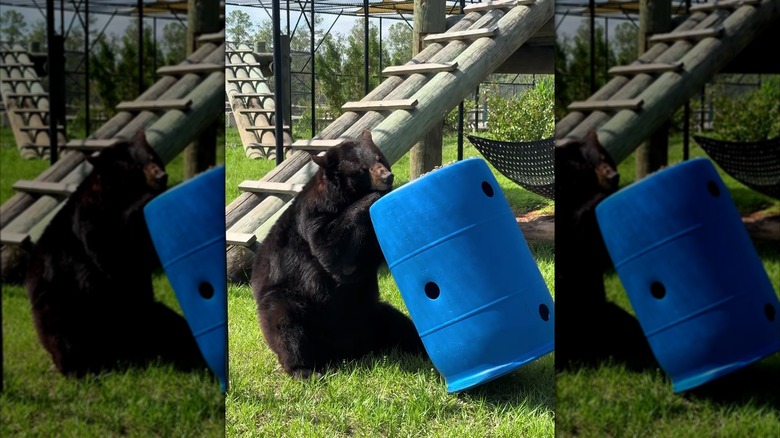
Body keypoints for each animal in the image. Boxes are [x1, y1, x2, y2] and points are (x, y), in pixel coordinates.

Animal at [25, 130, 206, 377]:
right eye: (135, 166)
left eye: (152, 158)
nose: (161, 175)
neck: (117, 197)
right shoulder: (92, 223)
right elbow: (112, 256)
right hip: (67, 311)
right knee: (68, 336)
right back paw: (82, 369)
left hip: (144, 315)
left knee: (173, 327)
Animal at [251, 129, 426, 378]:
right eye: (361, 169)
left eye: (380, 158)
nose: (388, 177)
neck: (342, 197)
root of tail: (346, 353)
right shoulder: (313, 216)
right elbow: (333, 252)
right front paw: (374, 197)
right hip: (289, 302)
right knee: (285, 324)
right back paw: (303, 369)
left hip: (371, 313)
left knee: (400, 325)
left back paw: (420, 348)